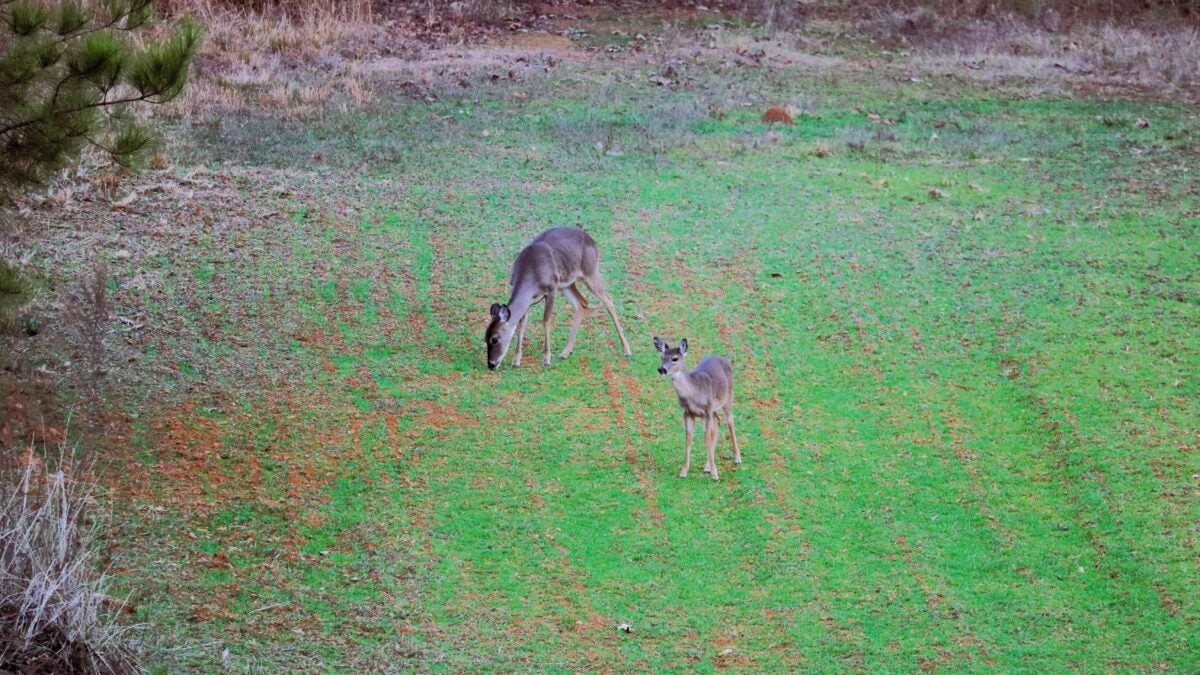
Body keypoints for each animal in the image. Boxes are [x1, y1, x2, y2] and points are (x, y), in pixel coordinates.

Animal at [487, 228, 638, 369]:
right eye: (485, 337)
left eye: (495, 339)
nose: (491, 364)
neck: (531, 275)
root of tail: (592, 240)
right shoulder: (529, 300)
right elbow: (521, 323)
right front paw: (516, 361)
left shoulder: (552, 288)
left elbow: (546, 320)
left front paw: (547, 359)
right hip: (567, 283)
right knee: (582, 302)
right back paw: (565, 352)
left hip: (590, 271)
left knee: (608, 299)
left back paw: (627, 350)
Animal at [657, 336, 739, 478]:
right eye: (662, 357)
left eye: (675, 358)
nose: (662, 369)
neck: (693, 393)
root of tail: (724, 359)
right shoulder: (688, 413)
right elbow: (689, 439)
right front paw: (684, 472)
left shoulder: (707, 410)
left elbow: (707, 439)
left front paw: (715, 475)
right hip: (713, 409)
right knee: (717, 422)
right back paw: (707, 466)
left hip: (728, 397)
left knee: (730, 420)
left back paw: (737, 458)